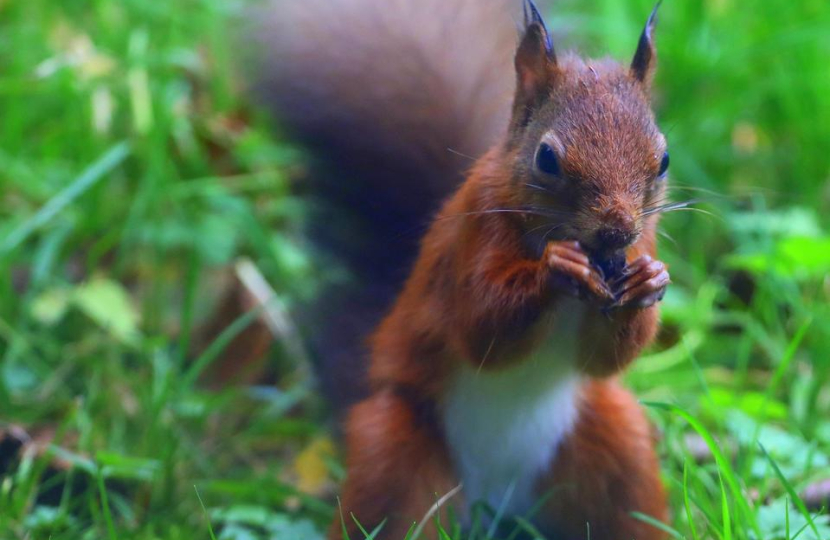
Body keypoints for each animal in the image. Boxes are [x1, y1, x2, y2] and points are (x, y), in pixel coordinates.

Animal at [256, 1, 672, 540]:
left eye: (663, 159)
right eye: (547, 158)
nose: (618, 230)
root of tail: (496, 505)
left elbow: (602, 361)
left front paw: (650, 280)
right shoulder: (471, 241)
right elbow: (480, 328)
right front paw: (553, 271)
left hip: (617, 448)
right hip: (394, 454)